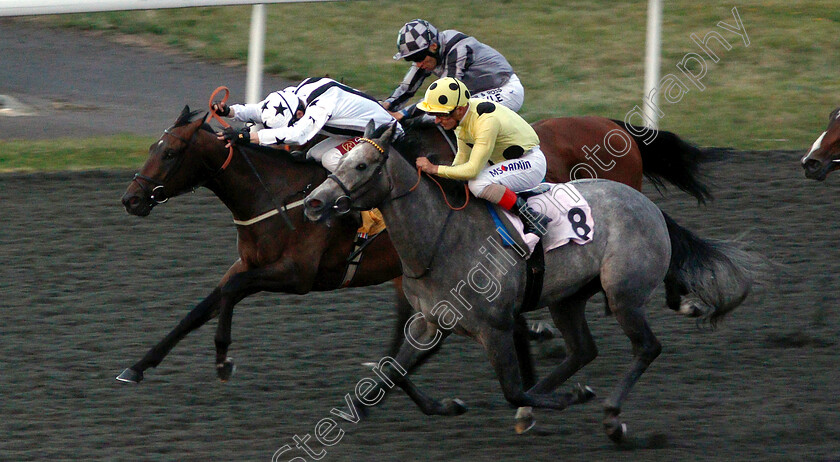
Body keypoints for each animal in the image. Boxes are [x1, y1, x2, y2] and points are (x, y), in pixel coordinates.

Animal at [116, 104, 716, 382]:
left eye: (171, 152)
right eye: (151, 147)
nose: (131, 198)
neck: (282, 194)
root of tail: (617, 128)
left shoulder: (299, 276)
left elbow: (226, 296)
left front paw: (220, 359)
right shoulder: (251, 264)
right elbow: (203, 305)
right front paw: (145, 364)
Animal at [304, 122, 760, 444]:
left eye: (361, 165)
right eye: (334, 164)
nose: (313, 202)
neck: (440, 239)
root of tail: (648, 206)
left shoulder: (495, 327)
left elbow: (512, 390)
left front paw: (570, 398)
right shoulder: (431, 323)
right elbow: (392, 370)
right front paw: (448, 405)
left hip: (623, 294)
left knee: (646, 347)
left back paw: (611, 417)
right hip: (568, 297)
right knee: (583, 349)